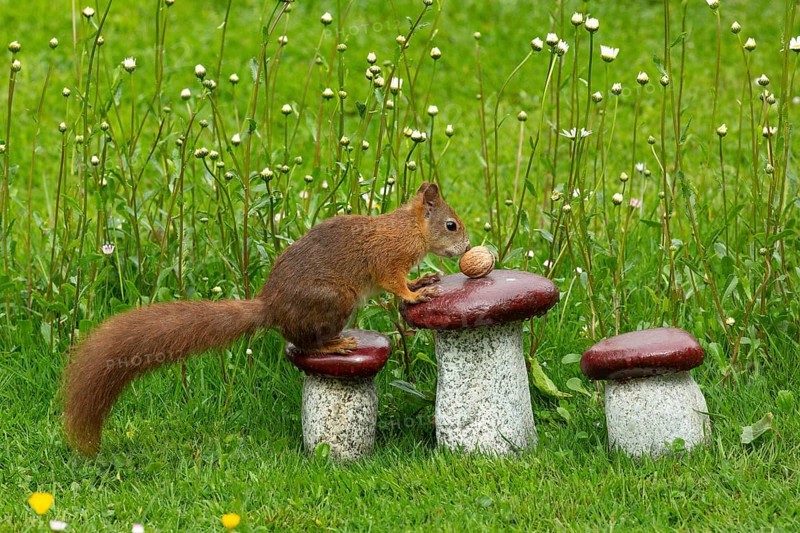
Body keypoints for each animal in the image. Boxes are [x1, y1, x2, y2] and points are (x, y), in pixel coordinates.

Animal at [63, 182, 470, 455]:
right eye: (451, 225)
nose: (467, 247)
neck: (408, 227)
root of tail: (271, 307)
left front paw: (423, 280)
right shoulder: (387, 259)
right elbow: (394, 284)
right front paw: (416, 293)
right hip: (335, 300)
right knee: (305, 343)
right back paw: (334, 344)